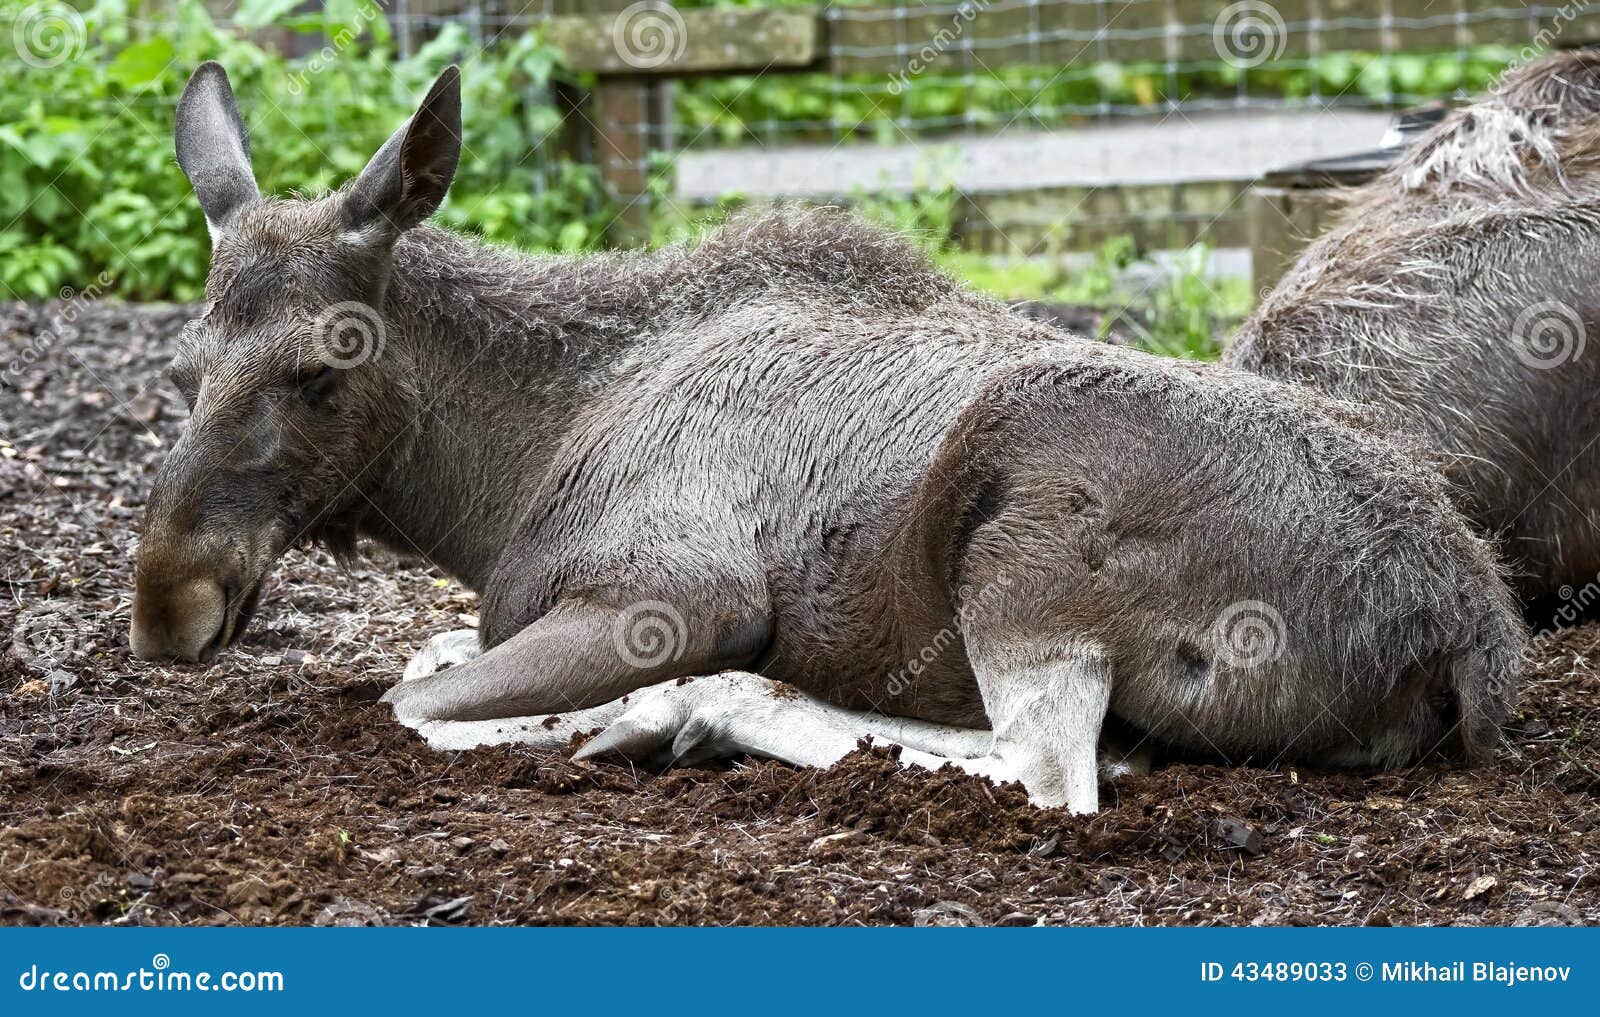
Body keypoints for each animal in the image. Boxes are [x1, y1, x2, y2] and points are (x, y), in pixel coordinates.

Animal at [129, 62, 1526, 813]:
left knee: (1048, 772)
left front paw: (620, 708)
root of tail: (1464, 638)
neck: (496, 481)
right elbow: (424, 659)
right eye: (182, 365)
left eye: (321, 368)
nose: (167, 603)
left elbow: (412, 702)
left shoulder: (674, 588)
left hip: (1022, 541)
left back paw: (694, 710)